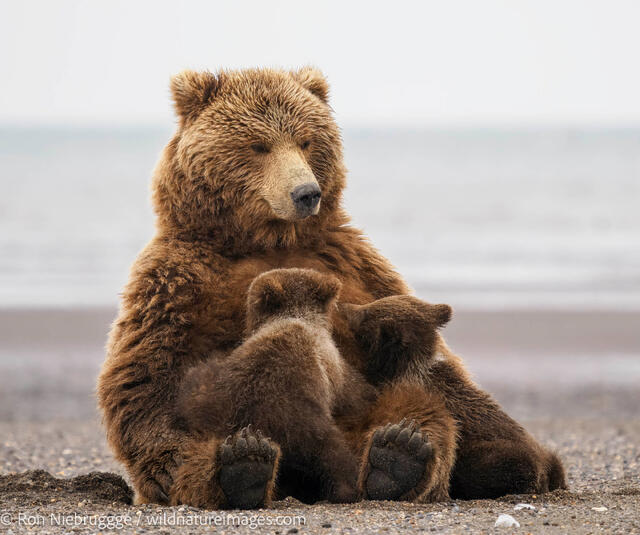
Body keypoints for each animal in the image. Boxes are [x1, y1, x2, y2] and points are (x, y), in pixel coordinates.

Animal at [176, 268, 376, 505]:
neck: (295, 316)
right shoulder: (330, 362)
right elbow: (355, 393)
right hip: (301, 420)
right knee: (334, 453)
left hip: (206, 398)